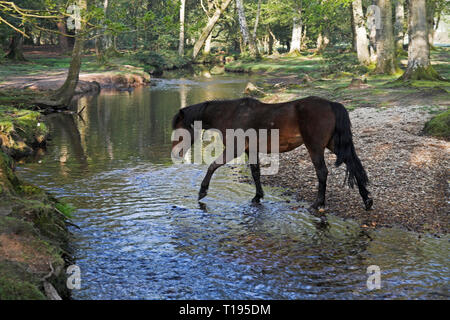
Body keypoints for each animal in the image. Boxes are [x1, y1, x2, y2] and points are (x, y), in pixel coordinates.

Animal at [172, 96, 372, 211]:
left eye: (179, 131)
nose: (176, 153)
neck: (231, 114)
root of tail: (330, 104)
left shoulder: (234, 149)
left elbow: (213, 166)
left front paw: (202, 191)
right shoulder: (250, 150)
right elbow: (255, 172)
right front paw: (257, 196)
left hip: (315, 147)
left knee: (322, 173)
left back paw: (318, 203)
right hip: (333, 144)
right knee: (353, 164)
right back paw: (367, 200)